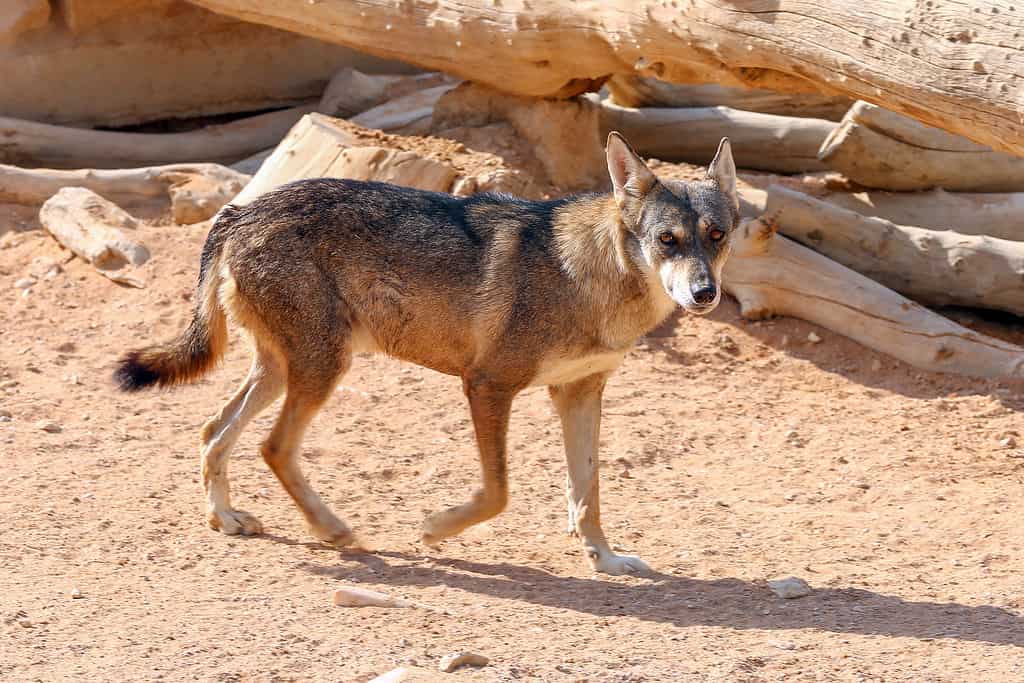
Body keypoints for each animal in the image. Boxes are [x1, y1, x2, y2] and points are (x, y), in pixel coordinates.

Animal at [116, 131, 737, 573]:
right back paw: (333, 530)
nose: (704, 294)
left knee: (212, 430)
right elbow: (498, 493)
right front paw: (435, 528)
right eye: (667, 241)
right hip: (322, 369)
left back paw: (225, 518)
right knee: (272, 447)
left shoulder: (579, 393)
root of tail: (238, 211)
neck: (585, 277)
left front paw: (605, 559)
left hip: (281, 371)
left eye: (717, 236)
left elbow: (588, 492)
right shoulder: (487, 385)